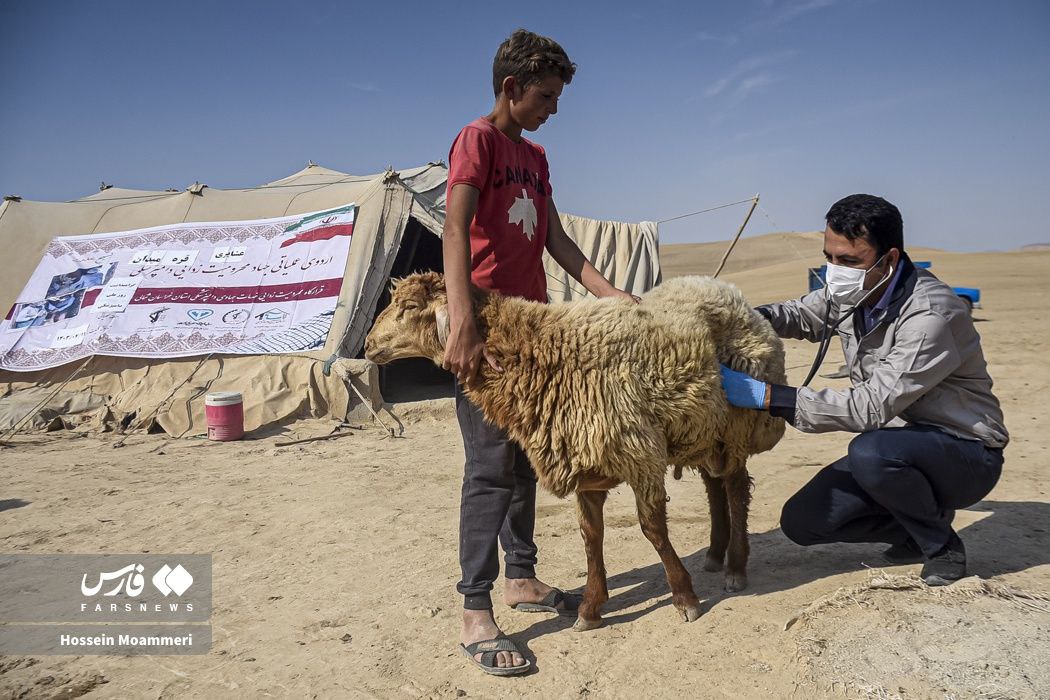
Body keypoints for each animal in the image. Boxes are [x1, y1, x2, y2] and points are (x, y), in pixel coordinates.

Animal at [365, 272, 785, 629]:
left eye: (408, 307)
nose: (368, 345)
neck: (547, 350)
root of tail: (729, 291)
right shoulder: (586, 463)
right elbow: (590, 535)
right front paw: (590, 608)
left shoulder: (640, 456)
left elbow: (653, 530)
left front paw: (684, 597)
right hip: (702, 430)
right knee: (714, 487)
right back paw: (715, 554)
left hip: (735, 426)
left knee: (734, 489)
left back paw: (735, 566)